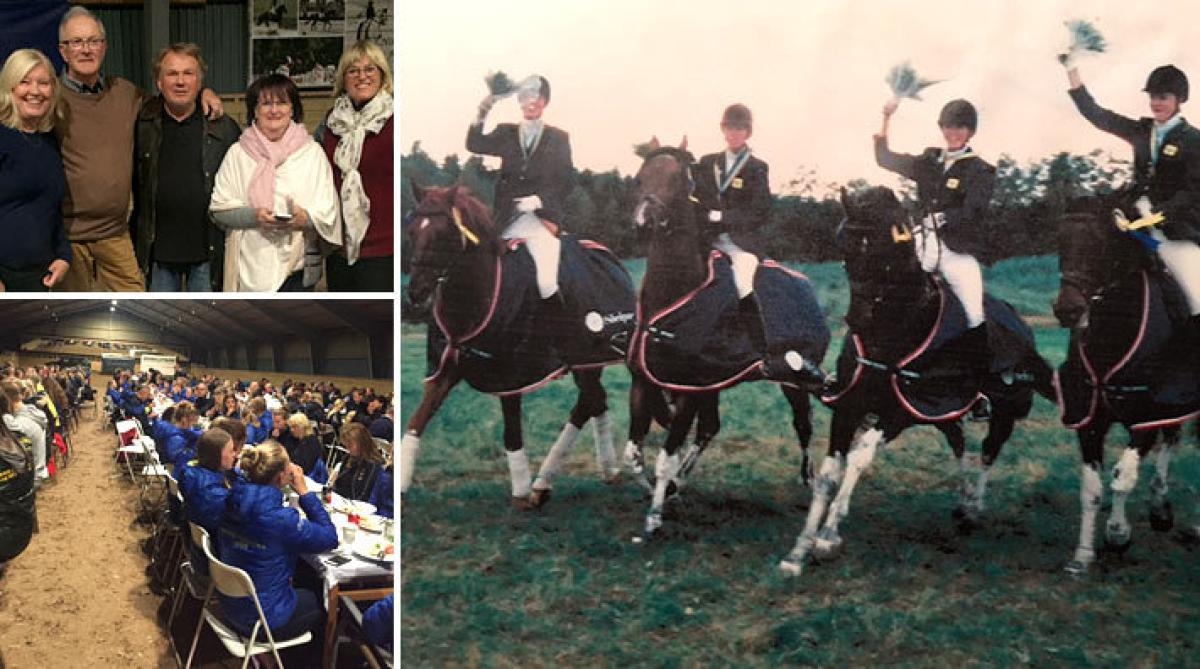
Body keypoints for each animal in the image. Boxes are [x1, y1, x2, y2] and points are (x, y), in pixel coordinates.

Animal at [400, 183, 638, 508]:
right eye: (412, 230)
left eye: (445, 233)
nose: (416, 292)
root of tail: (610, 259)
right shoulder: (445, 369)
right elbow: (415, 421)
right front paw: (398, 486)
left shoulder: (508, 378)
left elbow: (512, 434)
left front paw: (521, 493)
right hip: (586, 362)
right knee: (594, 402)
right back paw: (605, 471)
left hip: (588, 357)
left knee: (588, 403)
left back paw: (543, 484)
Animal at [624, 139, 830, 541]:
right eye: (640, 178)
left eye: (679, 181)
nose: (644, 222)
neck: (674, 290)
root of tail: (804, 283)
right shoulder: (646, 382)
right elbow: (634, 455)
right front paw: (660, 492)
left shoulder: (688, 389)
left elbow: (665, 455)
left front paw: (654, 517)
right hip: (715, 384)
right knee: (709, 428)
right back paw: (680, 483)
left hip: (794, 381)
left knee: (803, 424)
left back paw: (810, 480)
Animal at [777, 185, 1051, 580]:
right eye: (844, 248)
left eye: (879, 248)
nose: (856, 318)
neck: (892, 331)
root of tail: (1017, 320)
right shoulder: (849, 407)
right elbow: (829, 474)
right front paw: (799, 550)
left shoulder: (900, 413)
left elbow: (859, 458)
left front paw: (828, 538)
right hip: (946, 411)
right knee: (960, 444)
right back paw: (963, 503)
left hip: (1004, 411)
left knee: (988, 451)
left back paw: (974, 509)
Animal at [1056, 196, 1195, 575]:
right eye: (1059, 242)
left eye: (1100, 243)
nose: (1067, 310)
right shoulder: (1089, 421)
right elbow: (1091, 489)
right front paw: (1082, 555)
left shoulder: (1145, 418)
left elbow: (1122, 478)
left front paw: (1118, 534)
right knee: (1172, 441)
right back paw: (1160, 507)